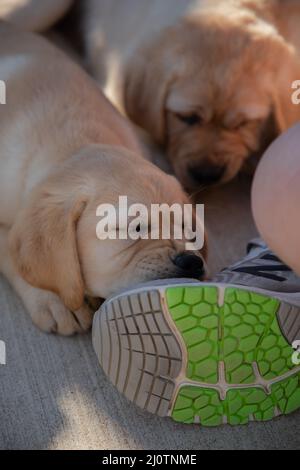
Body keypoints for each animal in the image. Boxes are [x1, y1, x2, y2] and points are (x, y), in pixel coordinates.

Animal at [0, 22, 206, 336]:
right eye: (134, 228)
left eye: (189, 229)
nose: (191, 261)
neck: (76, 142)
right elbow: (8, 247)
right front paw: (53, 300)